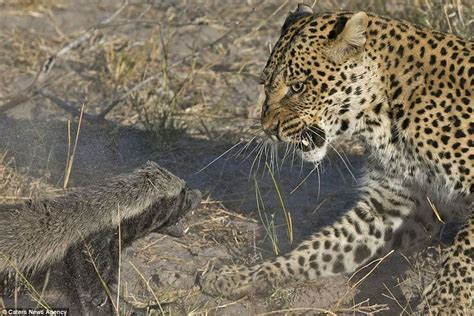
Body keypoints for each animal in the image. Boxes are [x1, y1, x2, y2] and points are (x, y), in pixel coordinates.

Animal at [198, 3, 472, 314]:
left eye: (298, 87)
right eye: (264, 84)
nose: (268, 129)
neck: (382, 121)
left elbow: (462, 253)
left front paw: (444, 304)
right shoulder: (387, 205)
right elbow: (318, 248)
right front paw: (240, 276)